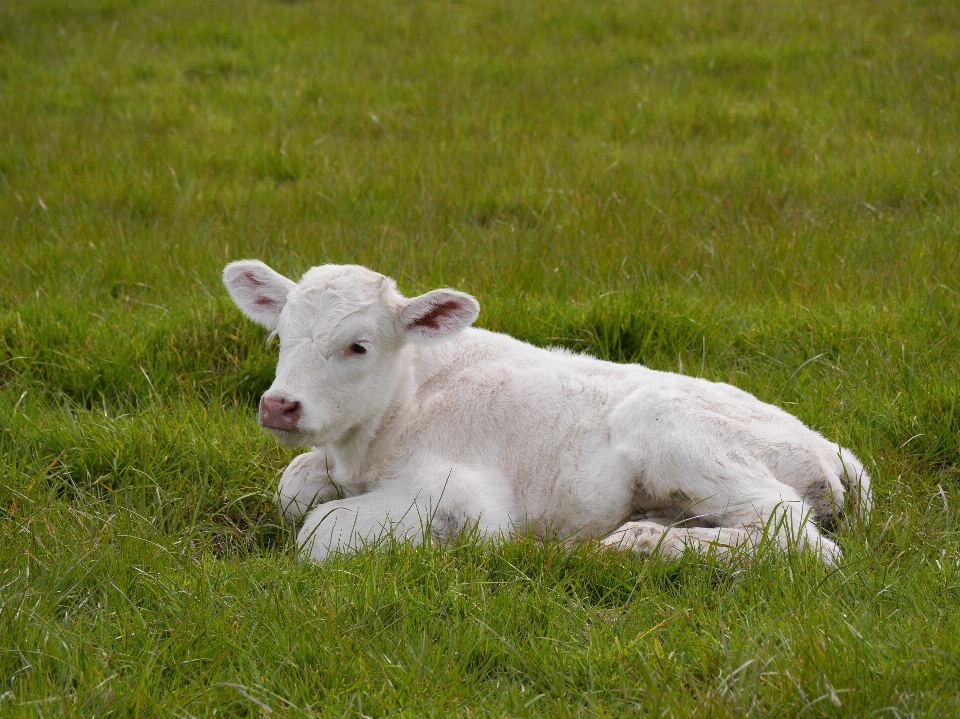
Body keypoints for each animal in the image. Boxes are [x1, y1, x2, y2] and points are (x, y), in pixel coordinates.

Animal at [225, 262, 872, 564]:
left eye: (358, 346)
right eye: (280, 335)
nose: (279, 406)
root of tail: (834, 451)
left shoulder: (463, 495)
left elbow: (318, 531)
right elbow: (293, 486)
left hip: (672, 428)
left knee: (798, 536)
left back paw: (632, 543)